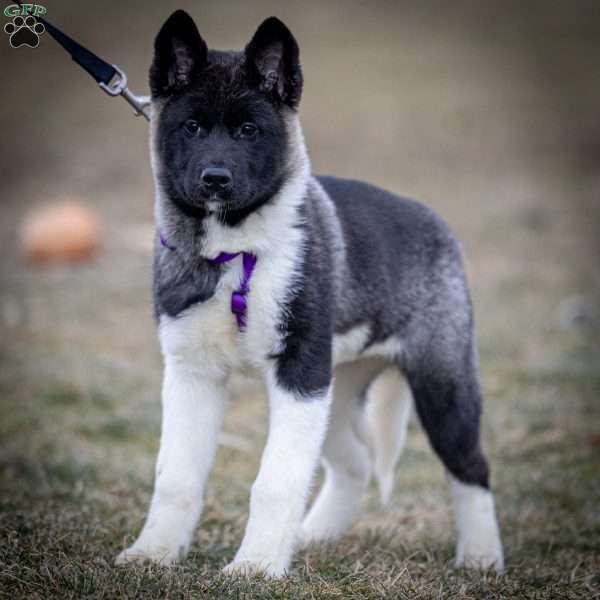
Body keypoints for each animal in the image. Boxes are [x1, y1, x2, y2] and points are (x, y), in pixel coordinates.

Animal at [115, 10, 504, 576]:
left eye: (249, 130)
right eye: (191, 127)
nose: (215, 178)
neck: (237, 247)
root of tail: (435, 223)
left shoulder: (298, 372)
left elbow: (275, 482)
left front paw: (254, 568)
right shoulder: (193, 372)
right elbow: (176, 476)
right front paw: (154, 553)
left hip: (440, 380)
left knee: (470, 463)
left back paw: (481, 556)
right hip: (336, 389)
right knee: (355, 461)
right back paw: (312, 535)